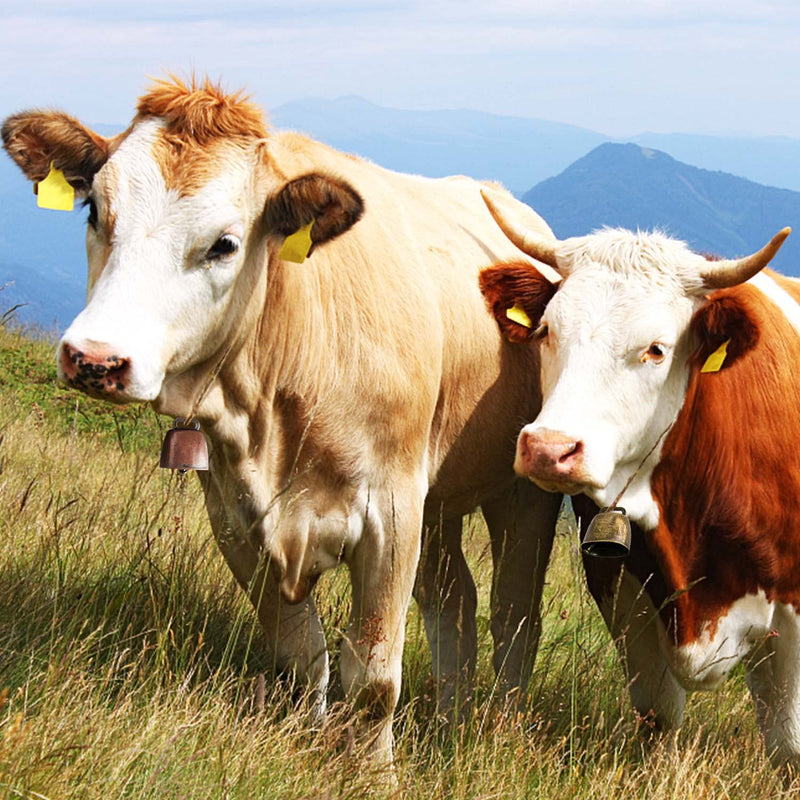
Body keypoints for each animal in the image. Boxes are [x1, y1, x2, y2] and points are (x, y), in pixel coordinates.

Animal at [2, 76, 562, 766]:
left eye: (225, 243)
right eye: (93, 213)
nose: (95, 359)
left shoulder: (393, 509)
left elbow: (374, 675)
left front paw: (373, 772)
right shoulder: (237, 518)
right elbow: (303, 656)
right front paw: (307, 741)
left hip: (522, 493)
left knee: (516, 614)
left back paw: (496, 728)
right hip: (439, 501)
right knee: (455, 599)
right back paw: (452, 718)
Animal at [478, 190, 800, 773]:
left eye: (655, 349)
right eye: (547, 331)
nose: (549, 448)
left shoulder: (792, 614)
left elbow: (788, 745)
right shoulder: (623, 591)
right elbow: (658, 715)